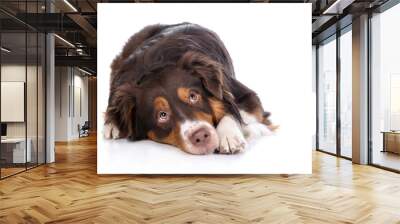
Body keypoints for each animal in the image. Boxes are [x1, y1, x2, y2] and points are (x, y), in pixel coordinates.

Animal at [104, 23, 276, 156]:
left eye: (193, 96)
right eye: (162, 115)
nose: (201, 135)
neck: (157, 66)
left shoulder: (246, 95)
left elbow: (234, 110)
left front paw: (229, 136)